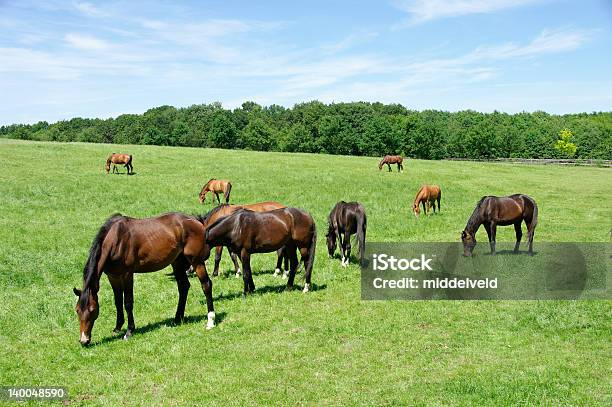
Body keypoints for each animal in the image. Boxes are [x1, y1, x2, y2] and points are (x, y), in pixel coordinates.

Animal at [72, 212, 216, 346]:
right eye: (77, 310)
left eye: (92, 310)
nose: (84, 340)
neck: (115, 240)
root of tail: (196, 220)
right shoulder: (113, 276)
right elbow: (117, 301)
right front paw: (117, 327)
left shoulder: (127, 274)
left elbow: (128, 302)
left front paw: (129, 331)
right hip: (177, 262)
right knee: (183, 286)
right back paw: (177, 318)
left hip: (197, 262)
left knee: (206, 285)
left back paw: (210, 321)